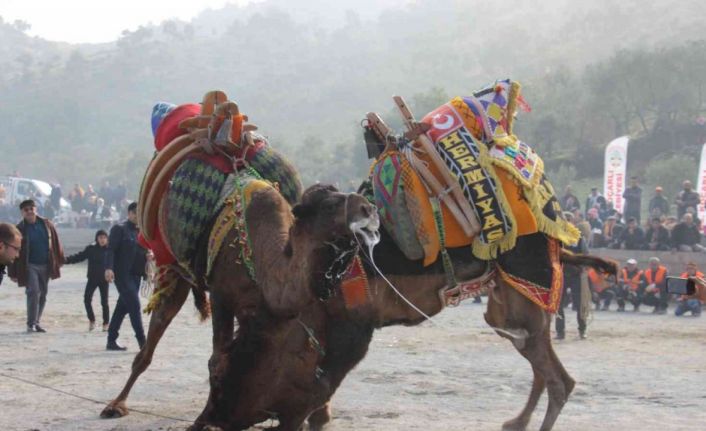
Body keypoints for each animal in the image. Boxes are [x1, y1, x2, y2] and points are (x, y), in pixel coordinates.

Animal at [100, 183, 380, 419]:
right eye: (331, 205)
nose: (369, 208)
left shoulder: (269, 313)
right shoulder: (222, 297)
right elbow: (217, 362)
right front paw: (211, 417)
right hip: (173, 269)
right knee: (154, 332)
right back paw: (115, 405)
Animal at [194, 229, 616, 431]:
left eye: (222, 377)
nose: (208, 421)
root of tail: (560, 245)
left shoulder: (355, 327)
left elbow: (319, 388)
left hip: (521, 304)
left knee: (560, 380)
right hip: (509, 311)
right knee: (543, 367)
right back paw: (517, 422)